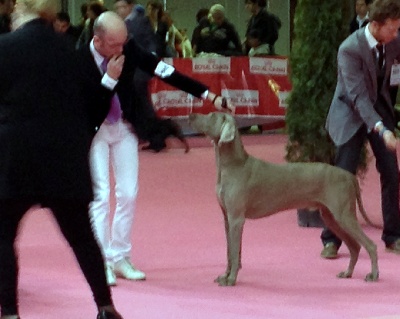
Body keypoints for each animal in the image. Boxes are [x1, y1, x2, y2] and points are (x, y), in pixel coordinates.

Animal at [189, 112, 380, 288]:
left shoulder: (236, 218)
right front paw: (225, 275)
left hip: (343, 215)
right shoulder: (227, 218)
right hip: (331, 217)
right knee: (355, 246)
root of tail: (350, 176)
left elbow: (235, 252)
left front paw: (231, 279)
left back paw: (373, 275)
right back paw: (347, 273)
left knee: (370, 245)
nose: (191, 115)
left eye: (212, 115)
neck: (233, 165)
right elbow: (230, 251)